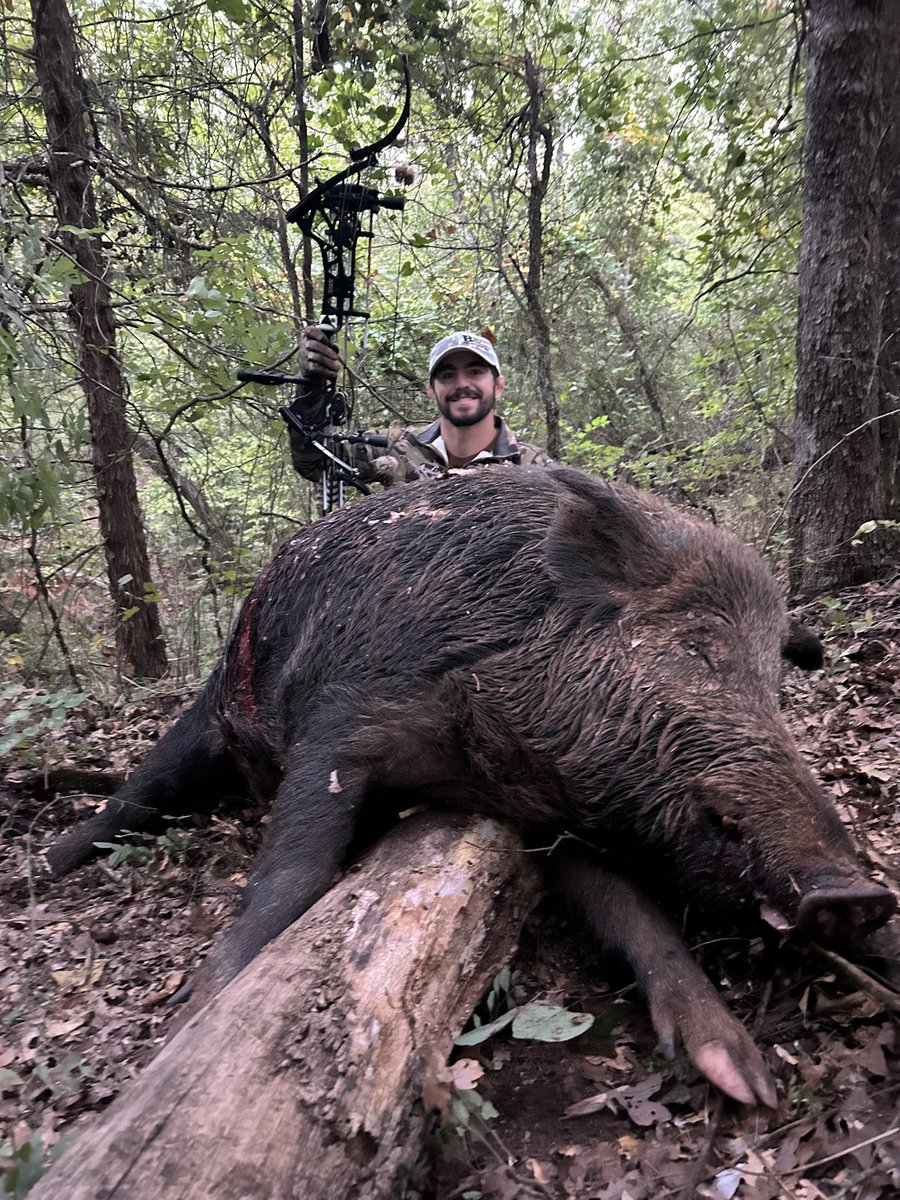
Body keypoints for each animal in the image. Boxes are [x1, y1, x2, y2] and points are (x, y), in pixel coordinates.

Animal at [43, 468, 896, 1107]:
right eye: (698, 649)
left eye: (776, 683)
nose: (858, 894)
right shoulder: (342, 719)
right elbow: (295, 874)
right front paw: (192, 1019)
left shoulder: (546, 814)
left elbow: (635, 915)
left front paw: (744, 1079)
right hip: (214, 707)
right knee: (139, 792)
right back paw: (44, 863)